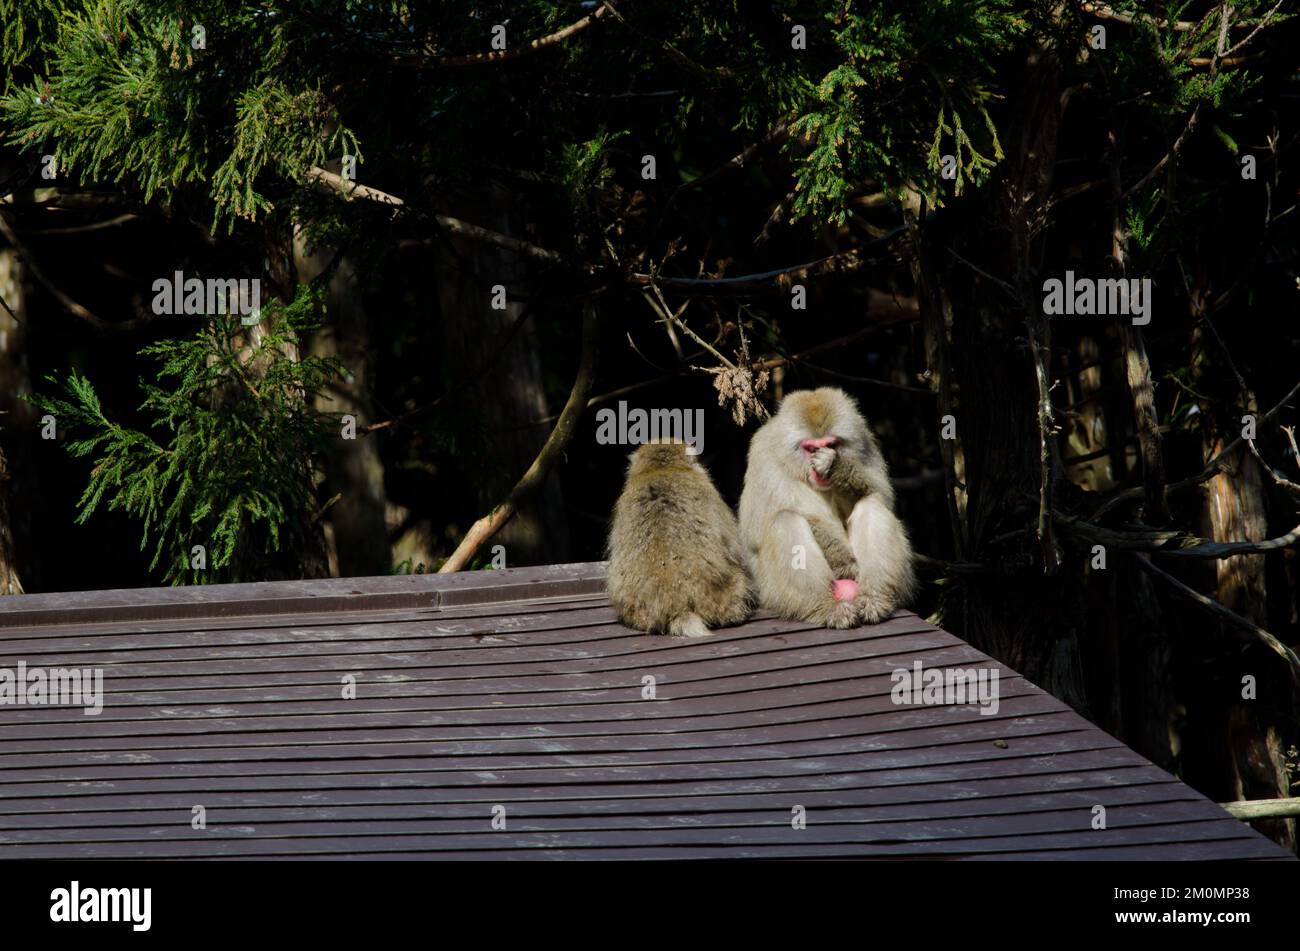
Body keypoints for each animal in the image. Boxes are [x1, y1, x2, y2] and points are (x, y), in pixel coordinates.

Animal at [738, 387, 916, 628]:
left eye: (830, 445)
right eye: (811, 448)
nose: (818, 467)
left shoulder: (865, 447)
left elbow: (879, 496)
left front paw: (835, 467)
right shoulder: (766, 459)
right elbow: (758, 527)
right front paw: (844, 563)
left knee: (871, 504)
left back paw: (874, 599)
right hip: (770, 589)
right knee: (785, 519)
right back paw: (825, 607)